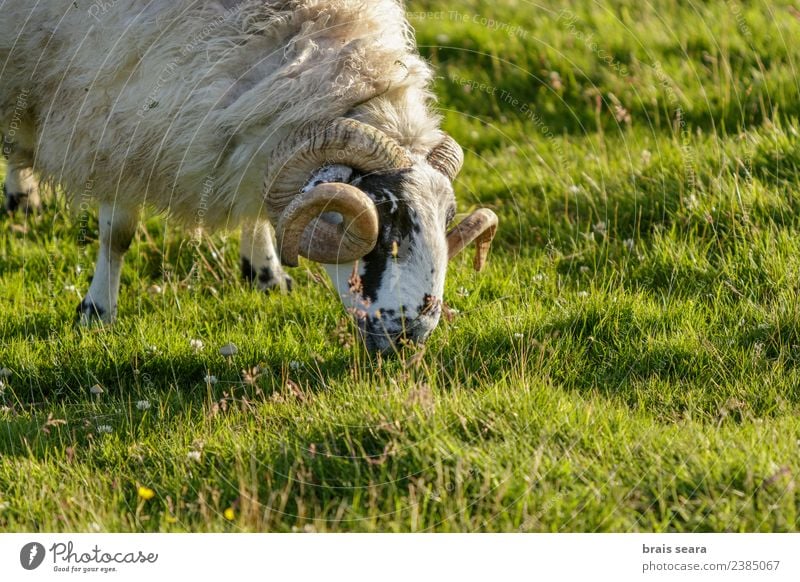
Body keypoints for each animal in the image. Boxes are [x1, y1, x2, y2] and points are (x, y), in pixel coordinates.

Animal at [0, 1, 496, 352]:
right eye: (378, 223)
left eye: (444, 222)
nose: (412, 336)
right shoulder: (115, 121)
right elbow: (116, 235)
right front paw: (97, 310)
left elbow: (258, 204)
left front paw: (266, 273)